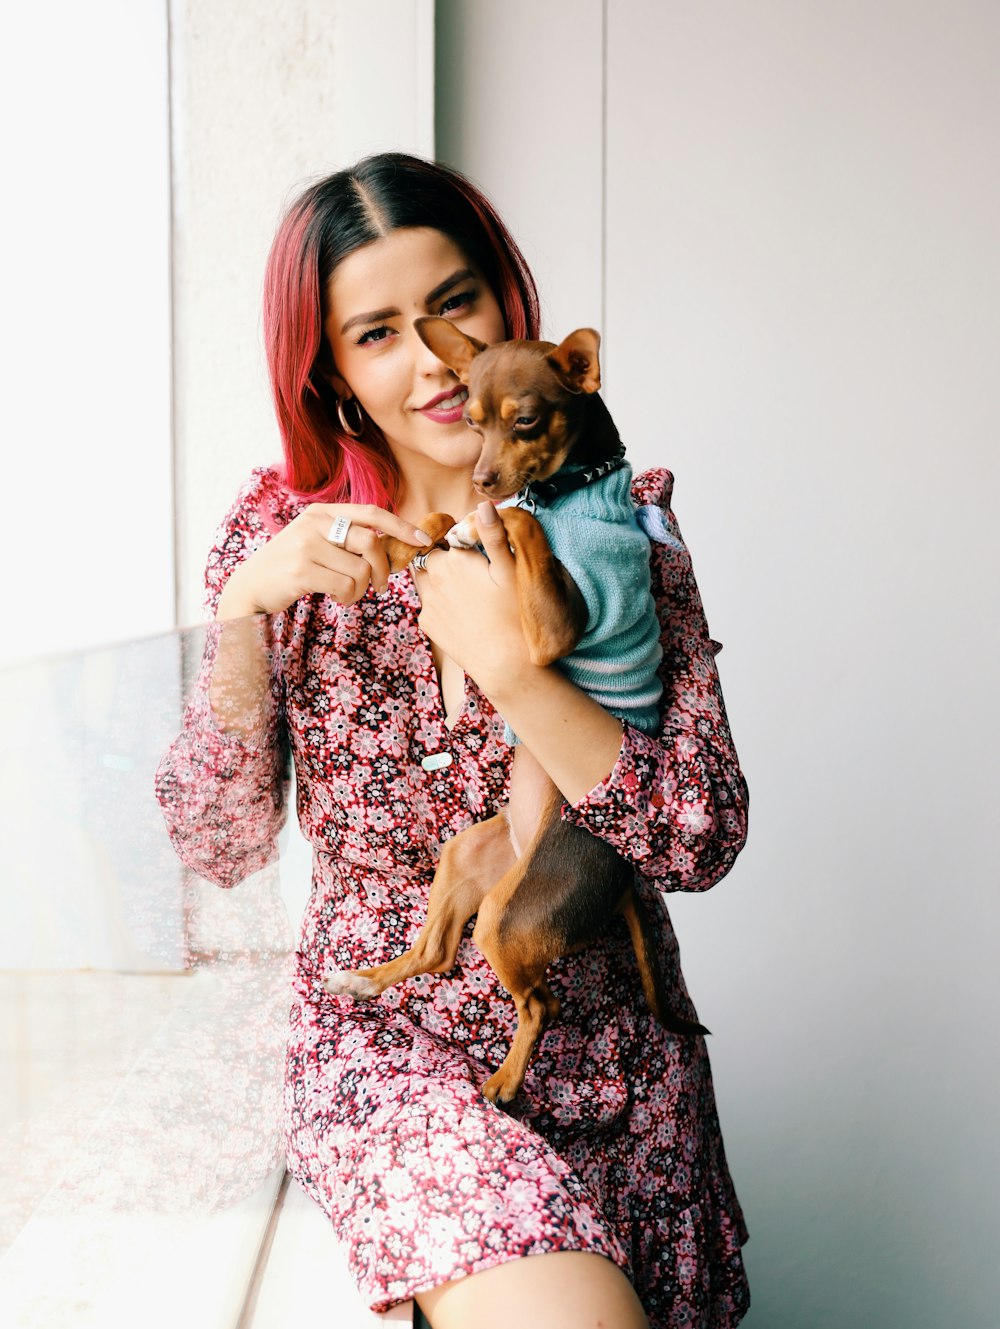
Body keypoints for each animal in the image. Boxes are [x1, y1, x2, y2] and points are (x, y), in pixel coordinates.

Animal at [324, 318, 707, 1100]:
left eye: (524, 422)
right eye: (470, 421)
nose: (482, 479)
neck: (571, 491)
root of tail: (622, 876)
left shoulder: (555, 628)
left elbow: (523, 531)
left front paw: (493, 523)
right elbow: (437, 519)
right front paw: (415, 532)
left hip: (508, 914)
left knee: (540, 1002)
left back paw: (503, 1080)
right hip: (469, 855)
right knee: (436, 953)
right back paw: (366, 979)